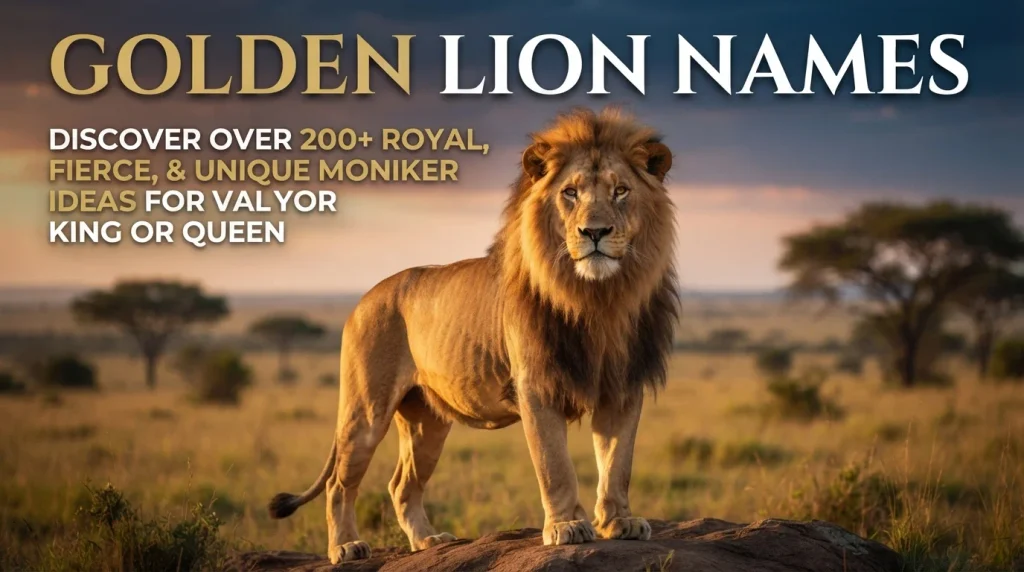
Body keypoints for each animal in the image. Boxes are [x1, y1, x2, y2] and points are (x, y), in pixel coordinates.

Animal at [267, 107, 679, 563]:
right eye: (570, 193)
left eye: (621, 191)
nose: (595, 233)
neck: (599, 299)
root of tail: (364, 298)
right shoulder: (536, 386)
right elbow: (555, 465)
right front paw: (567, 526)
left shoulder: (623, 385)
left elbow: (617, 462)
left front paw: (619, 522)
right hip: (365, 411)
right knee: (340, 482)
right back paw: (346, 546)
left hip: (426, 422)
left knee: (401, 485)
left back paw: (429, 541)